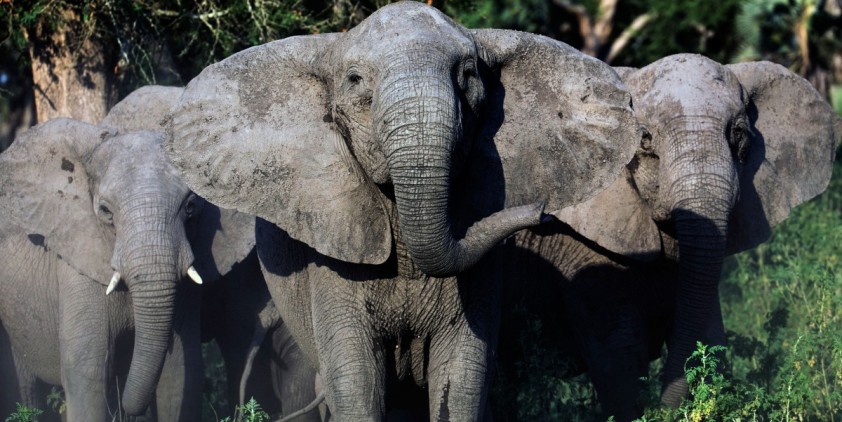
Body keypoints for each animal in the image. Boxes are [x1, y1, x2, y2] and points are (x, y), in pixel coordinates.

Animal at [165, 2, 641, 420]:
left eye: (469, 75)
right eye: (355, 80)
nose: (540, 211)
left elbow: (462, 378)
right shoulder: (331, 251)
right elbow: (357, 382)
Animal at [500, 53, 840, 420]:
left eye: (738, 134)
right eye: (645, 139)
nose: (664, 411)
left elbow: (710, 337)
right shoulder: (576, 249)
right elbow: (619, 356)